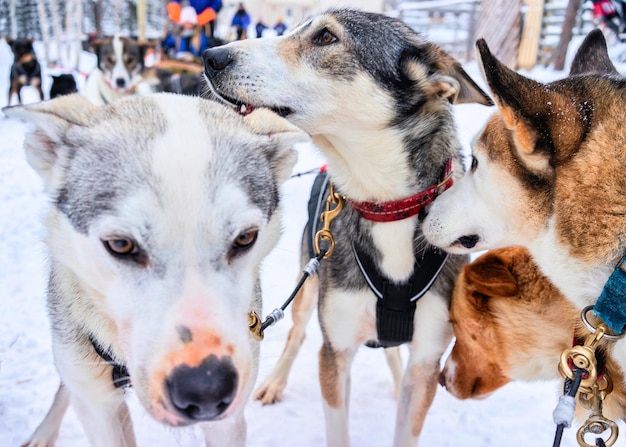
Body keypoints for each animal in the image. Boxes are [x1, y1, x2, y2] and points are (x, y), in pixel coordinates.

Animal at [202, 8, 490, 446]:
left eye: (325, 37)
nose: (211, 56)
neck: (387, 207)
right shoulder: (335, 350)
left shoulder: (427, 360)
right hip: (308, 285)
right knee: (297, 333)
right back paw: (275, 382)